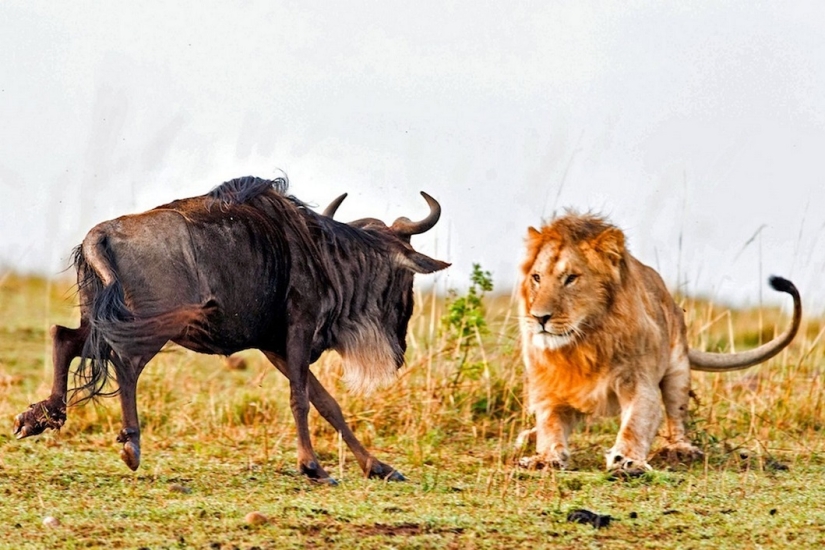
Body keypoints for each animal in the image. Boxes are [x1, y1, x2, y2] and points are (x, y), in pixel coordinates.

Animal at [517, 213, 801, 475]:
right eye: (537, 278)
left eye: (571, 278)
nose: (539, 317)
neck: (583, 343)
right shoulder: (550, 390)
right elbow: (550, 426)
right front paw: (544, 457)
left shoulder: (640, 384)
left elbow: (635, 424)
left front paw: (627, 459)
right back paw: (528, 436)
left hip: (678, 369)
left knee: (678, 418)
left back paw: (681, 450)